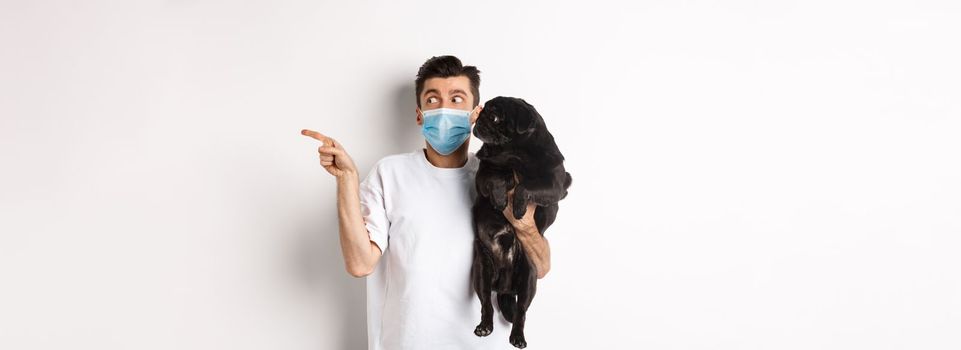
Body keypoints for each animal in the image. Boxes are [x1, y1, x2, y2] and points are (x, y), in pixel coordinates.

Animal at [470, 95, 568, 348]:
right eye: (484, 111)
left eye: (495, 117)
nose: (480, 117)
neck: (514, 152)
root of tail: (504, 288)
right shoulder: (483, 174)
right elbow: (495, 176)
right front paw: (500, 196)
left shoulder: (554, 185)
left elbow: (526, 186)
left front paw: (519, 207)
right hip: (481, 272)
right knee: (486, 304)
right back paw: (484, 327)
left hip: (528, 280)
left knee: (521, 312)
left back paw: (517, 337)